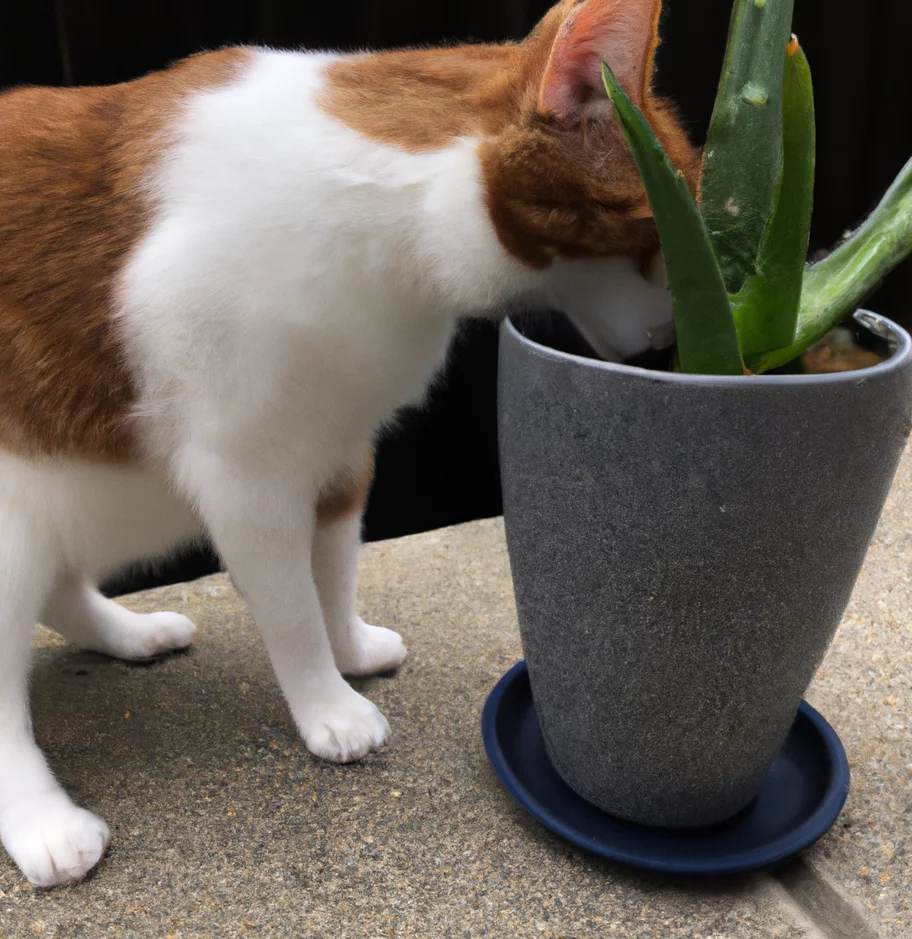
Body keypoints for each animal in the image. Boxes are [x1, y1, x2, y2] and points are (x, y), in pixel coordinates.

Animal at [0, 0, 692, 888]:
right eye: (664, 230)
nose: (676, 340)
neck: (387, 211)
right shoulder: (247, 475)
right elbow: (292, 605)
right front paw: (329, 707)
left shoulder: (340, 446)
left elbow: (333, 570)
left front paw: (352, 649)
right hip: (17, 519)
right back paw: (45, 825)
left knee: (60, 586)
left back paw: (132, 633)